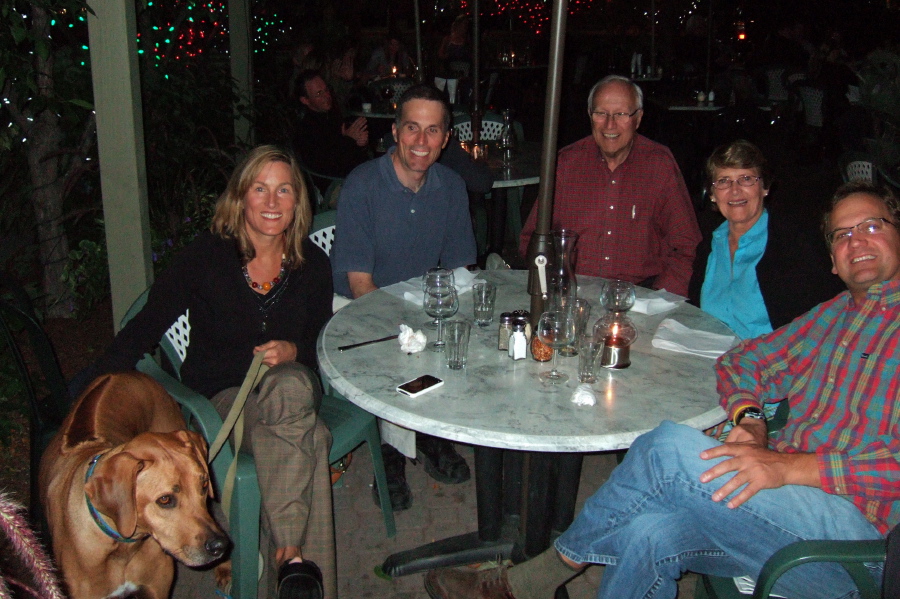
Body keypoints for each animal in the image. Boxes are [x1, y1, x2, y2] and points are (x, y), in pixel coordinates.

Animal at [39, 372, 229, 596]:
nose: (220, 546)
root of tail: (125, 373)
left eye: (203, 485)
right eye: (165, 500)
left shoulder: (157, 589)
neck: (123, 546)